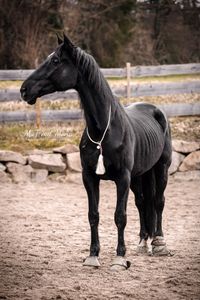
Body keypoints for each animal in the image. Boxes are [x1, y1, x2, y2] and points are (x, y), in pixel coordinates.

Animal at [20, 34, 172, 270]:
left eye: (55, 60)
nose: (24, 90)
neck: (104, 131)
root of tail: (156, 111)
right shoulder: (90, 177)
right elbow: (93, 215)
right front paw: (93, 255)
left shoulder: (123, 178)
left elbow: (120, 216)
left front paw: (120, 258)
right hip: (140, 175)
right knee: (142, 202)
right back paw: (142, 243)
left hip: (161, 168)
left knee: (158, 201)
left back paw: (159, 243)